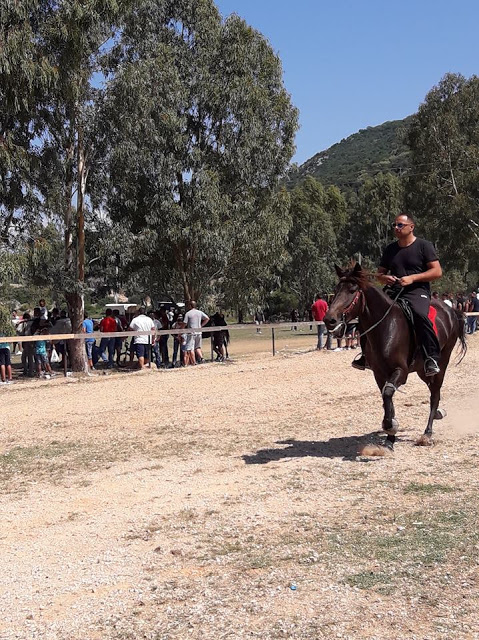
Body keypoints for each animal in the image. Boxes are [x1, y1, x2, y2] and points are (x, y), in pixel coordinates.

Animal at [324, 262, 466, 450]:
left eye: (352, 290)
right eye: (336, 289)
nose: (329, 320)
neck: (386, 326)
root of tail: (451, 311)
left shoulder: (400, 371)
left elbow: (388, 393)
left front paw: (390, 426)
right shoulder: (379, 374)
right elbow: (386, 399)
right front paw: (390, 437)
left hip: (441, 363)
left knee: (435, 394)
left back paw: (427, 433)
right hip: (421, 369)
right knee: (432, 390)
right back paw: (437, 414)